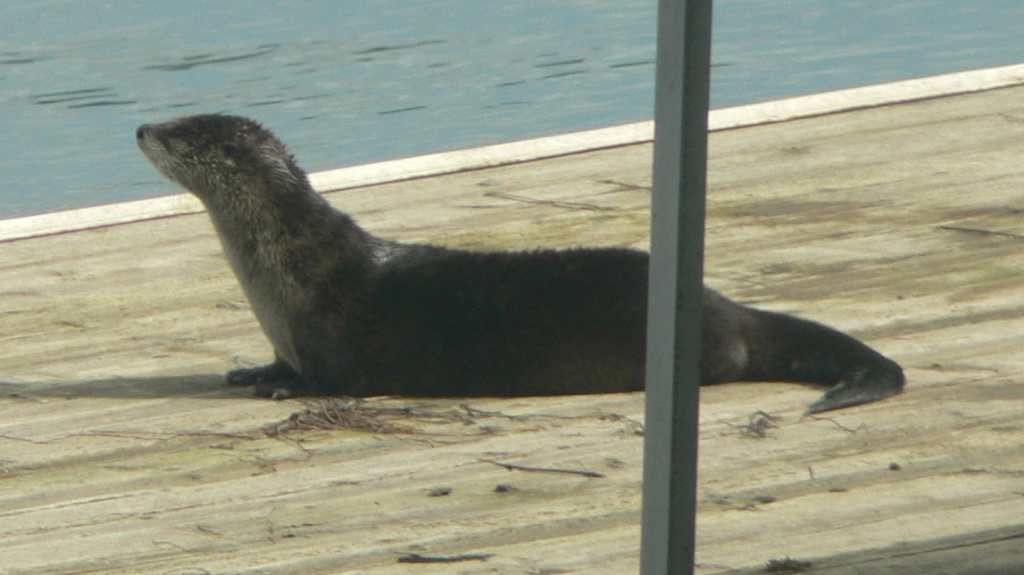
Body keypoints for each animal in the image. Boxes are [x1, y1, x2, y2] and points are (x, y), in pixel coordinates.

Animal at [136, 114, 905, 413]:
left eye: (179, 133)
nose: (141, 127)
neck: (283, 272)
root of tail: (726, 306)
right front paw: (253, 370)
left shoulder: (333, 337)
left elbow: (331, 379)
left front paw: (282, 388)